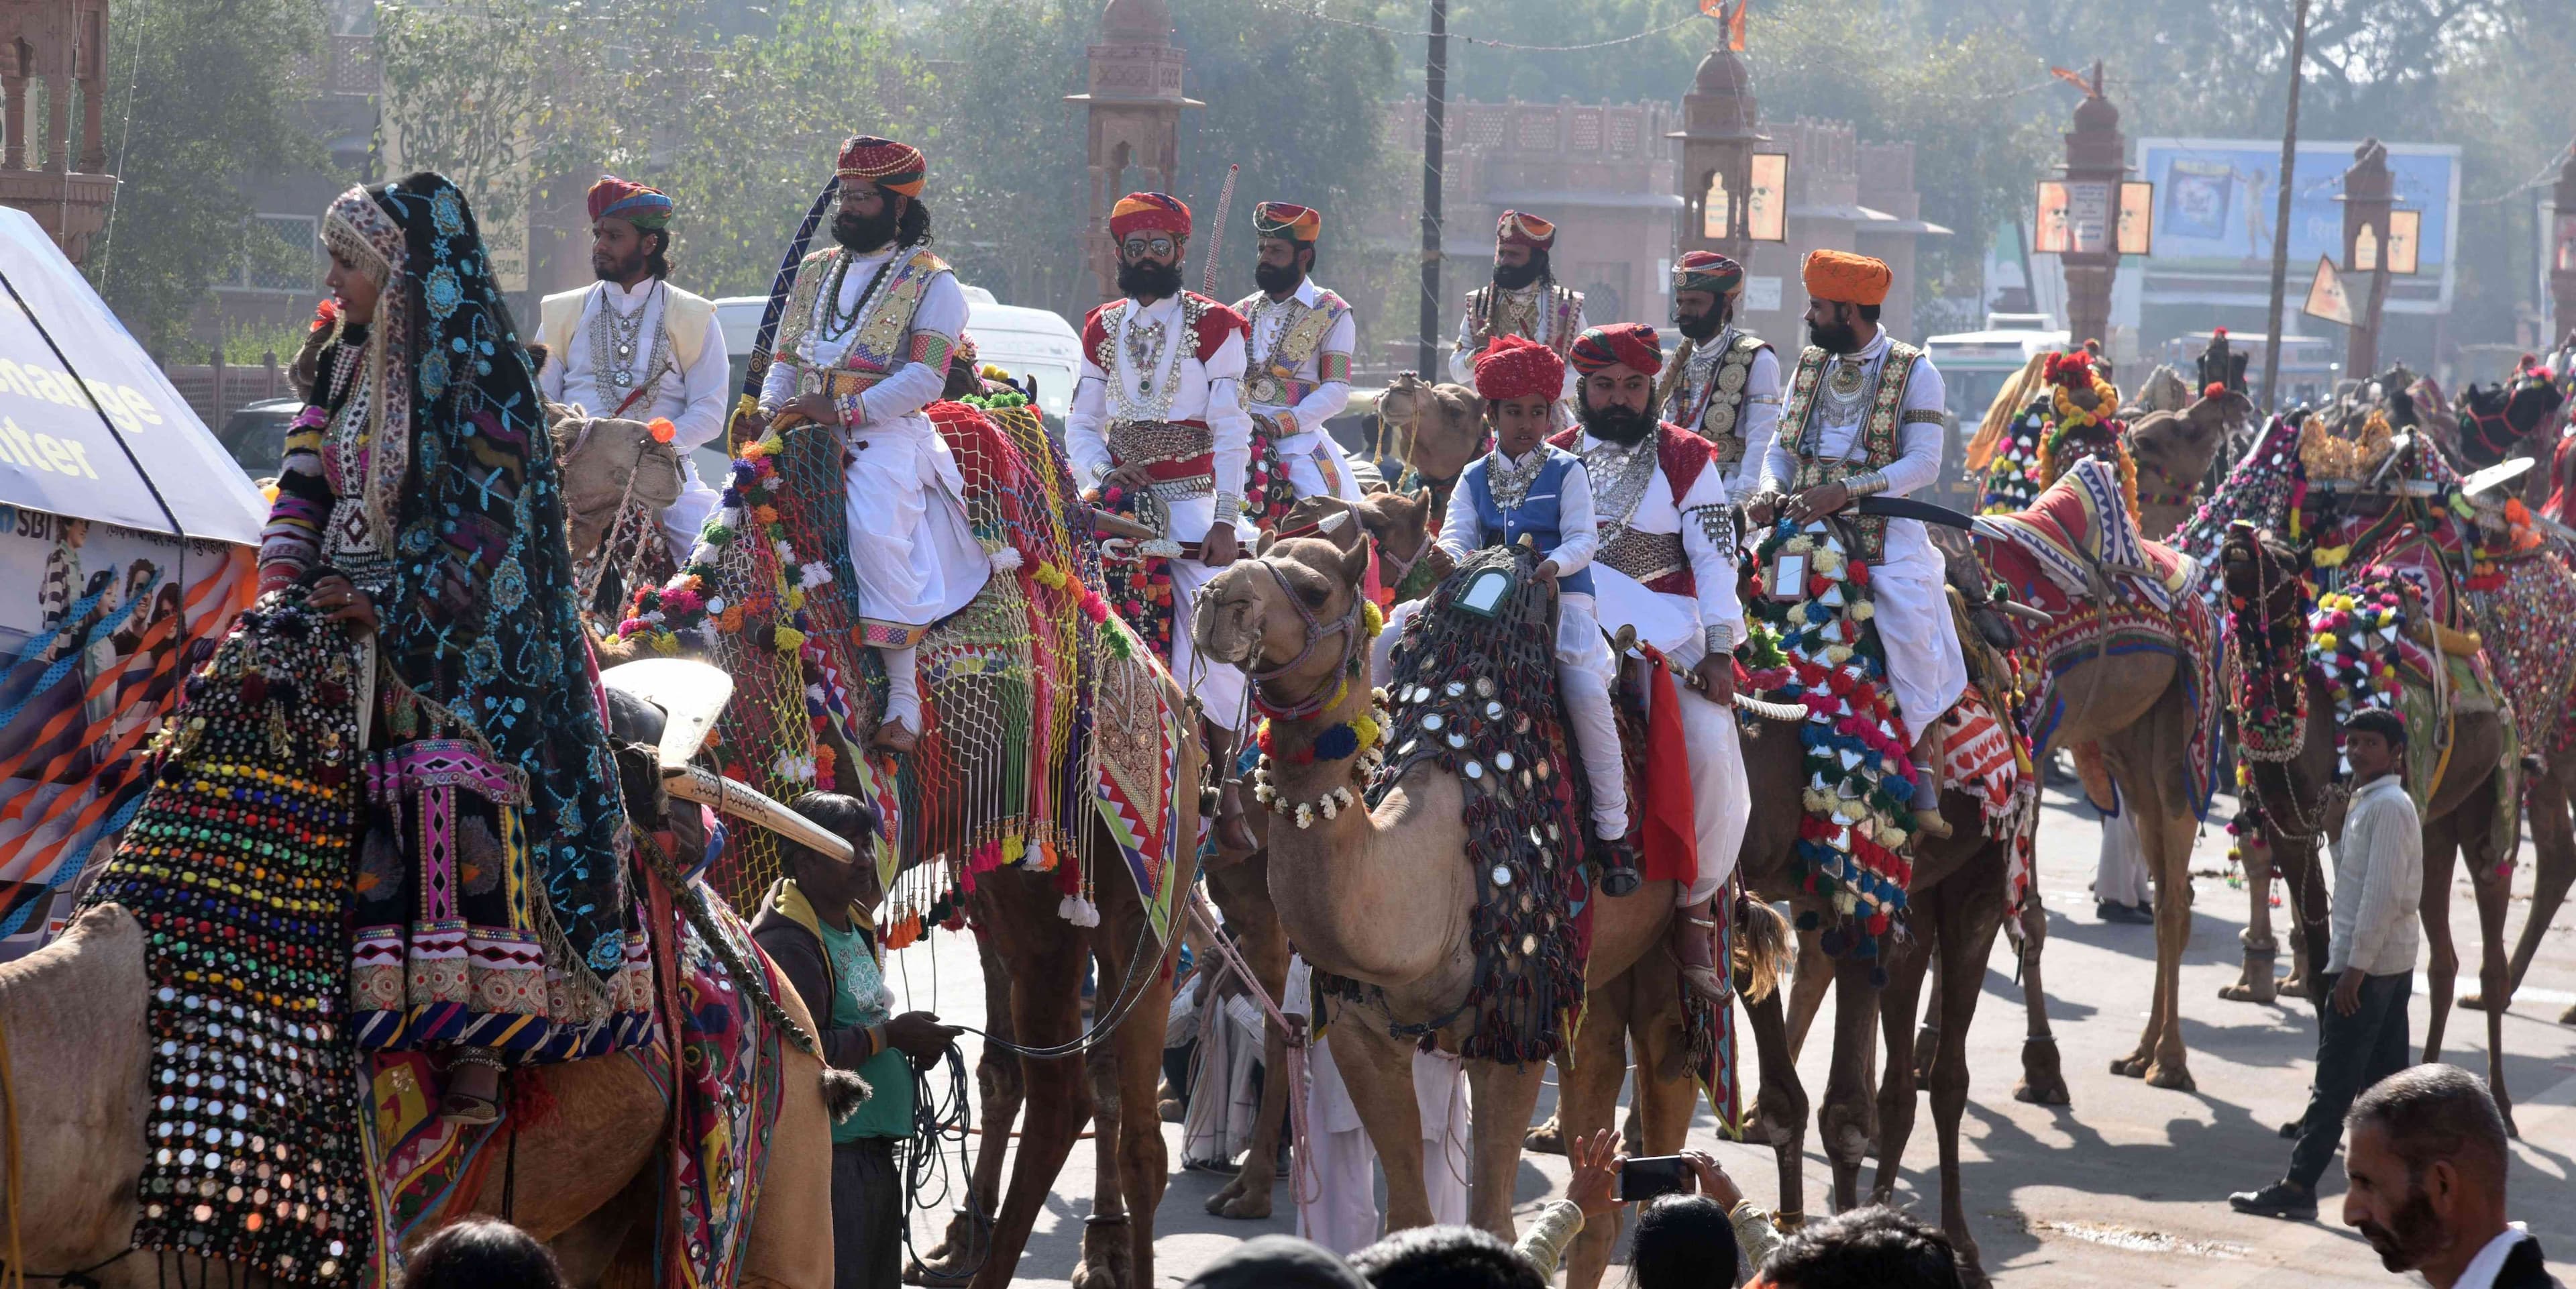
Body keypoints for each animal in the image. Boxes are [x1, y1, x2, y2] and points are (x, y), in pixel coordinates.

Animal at [2215, 523, 2514, 1129]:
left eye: (2283, 559)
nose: (2238, 535)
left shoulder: (2342, 823)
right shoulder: (2290, 830)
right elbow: (2318, 961)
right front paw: (2310, 1112)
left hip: (2486, 803)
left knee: (2489, 954)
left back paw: (2499, 1101)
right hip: (2434, 827)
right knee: (2444, 961)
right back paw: (2430, 1084)